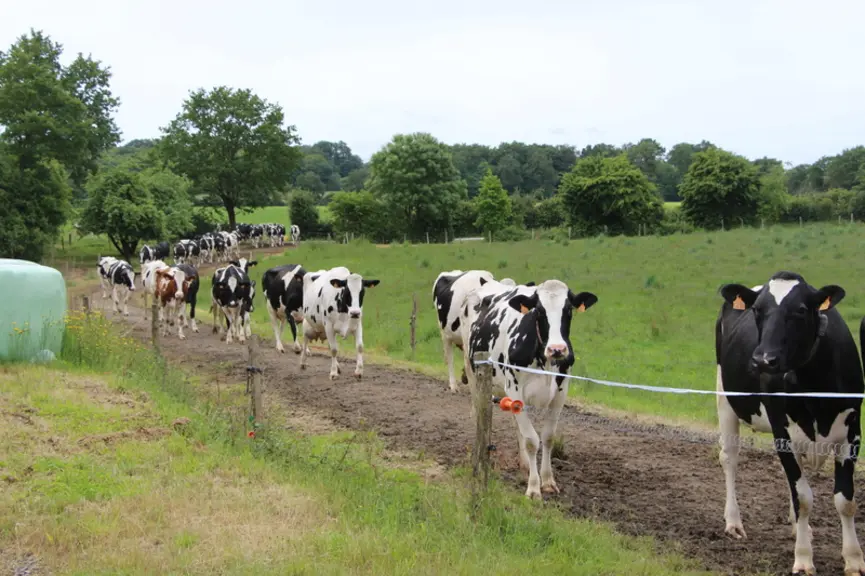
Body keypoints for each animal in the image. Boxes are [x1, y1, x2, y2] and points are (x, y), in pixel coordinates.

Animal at [460, 279, 597, 499]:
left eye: (568, 309)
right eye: (539, 311)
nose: (557, 349)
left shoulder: (560, 393)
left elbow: (548, 437)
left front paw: (548, 481)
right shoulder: (515, 389)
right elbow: (532, 440)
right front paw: (533, 488)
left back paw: (524, 464)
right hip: (472, 372)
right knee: (480, 414)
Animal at [715, 271, 865, 575]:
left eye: (801, 310)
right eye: (757, 310)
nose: (763, 360)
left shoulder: (852, 433)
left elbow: (845, 500)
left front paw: (854, 560)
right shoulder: (781, 432)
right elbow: (803, 498)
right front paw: (804, 558)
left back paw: (799, 529)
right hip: (725, 397)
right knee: (730, 459)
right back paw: (734, 522)